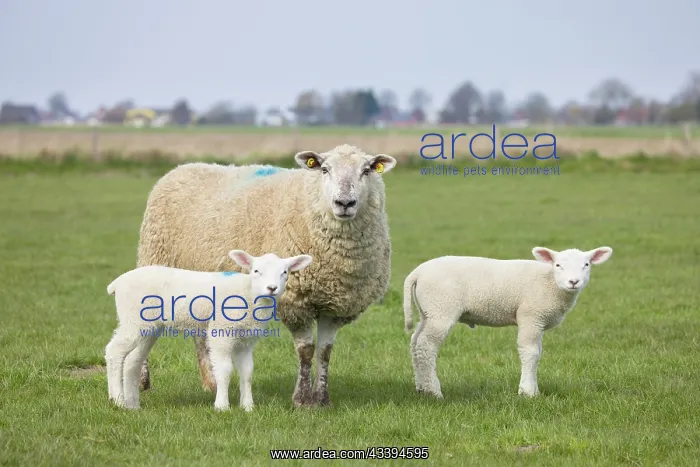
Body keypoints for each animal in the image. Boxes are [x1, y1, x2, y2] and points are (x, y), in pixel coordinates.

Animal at [105, 249, 313, 411]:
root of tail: (117, 283)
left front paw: (248, 406)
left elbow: (247, 372)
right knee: (114, 351)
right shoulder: (222, 331)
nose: (272, 288)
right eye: (256, 271)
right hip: (133, 318)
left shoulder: (246, 339)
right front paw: (222, 406)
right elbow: (225, 369)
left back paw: (132, 405)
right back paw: (117, 399)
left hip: (148, 327)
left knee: (132, 360)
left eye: (284, 272)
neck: (249, 294)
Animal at [135, 144, 396, 408]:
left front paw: (322, 400)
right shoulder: (295, 302)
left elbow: (324, 352)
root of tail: (183, 167)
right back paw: (142, 382)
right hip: (153, 261)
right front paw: (302, 400)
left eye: (366, 171)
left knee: (200, 334)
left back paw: (211, 383)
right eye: (324, 169)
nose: (344, 202)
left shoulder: (335, 307)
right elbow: (306, 351)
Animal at [403, 246, 613, 398]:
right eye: (558, 265)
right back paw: (434, 391)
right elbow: (530, 353)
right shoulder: (531, 316)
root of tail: (417, 272)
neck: (550, 283)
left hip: (428, 311)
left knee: (415, 342)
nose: (573, 282)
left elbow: (538, 353)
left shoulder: (538, 321)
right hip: (441, 308)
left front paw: (534, 389)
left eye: (586, 264)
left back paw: (421, 387)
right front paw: (528, 392)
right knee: (426, 345)